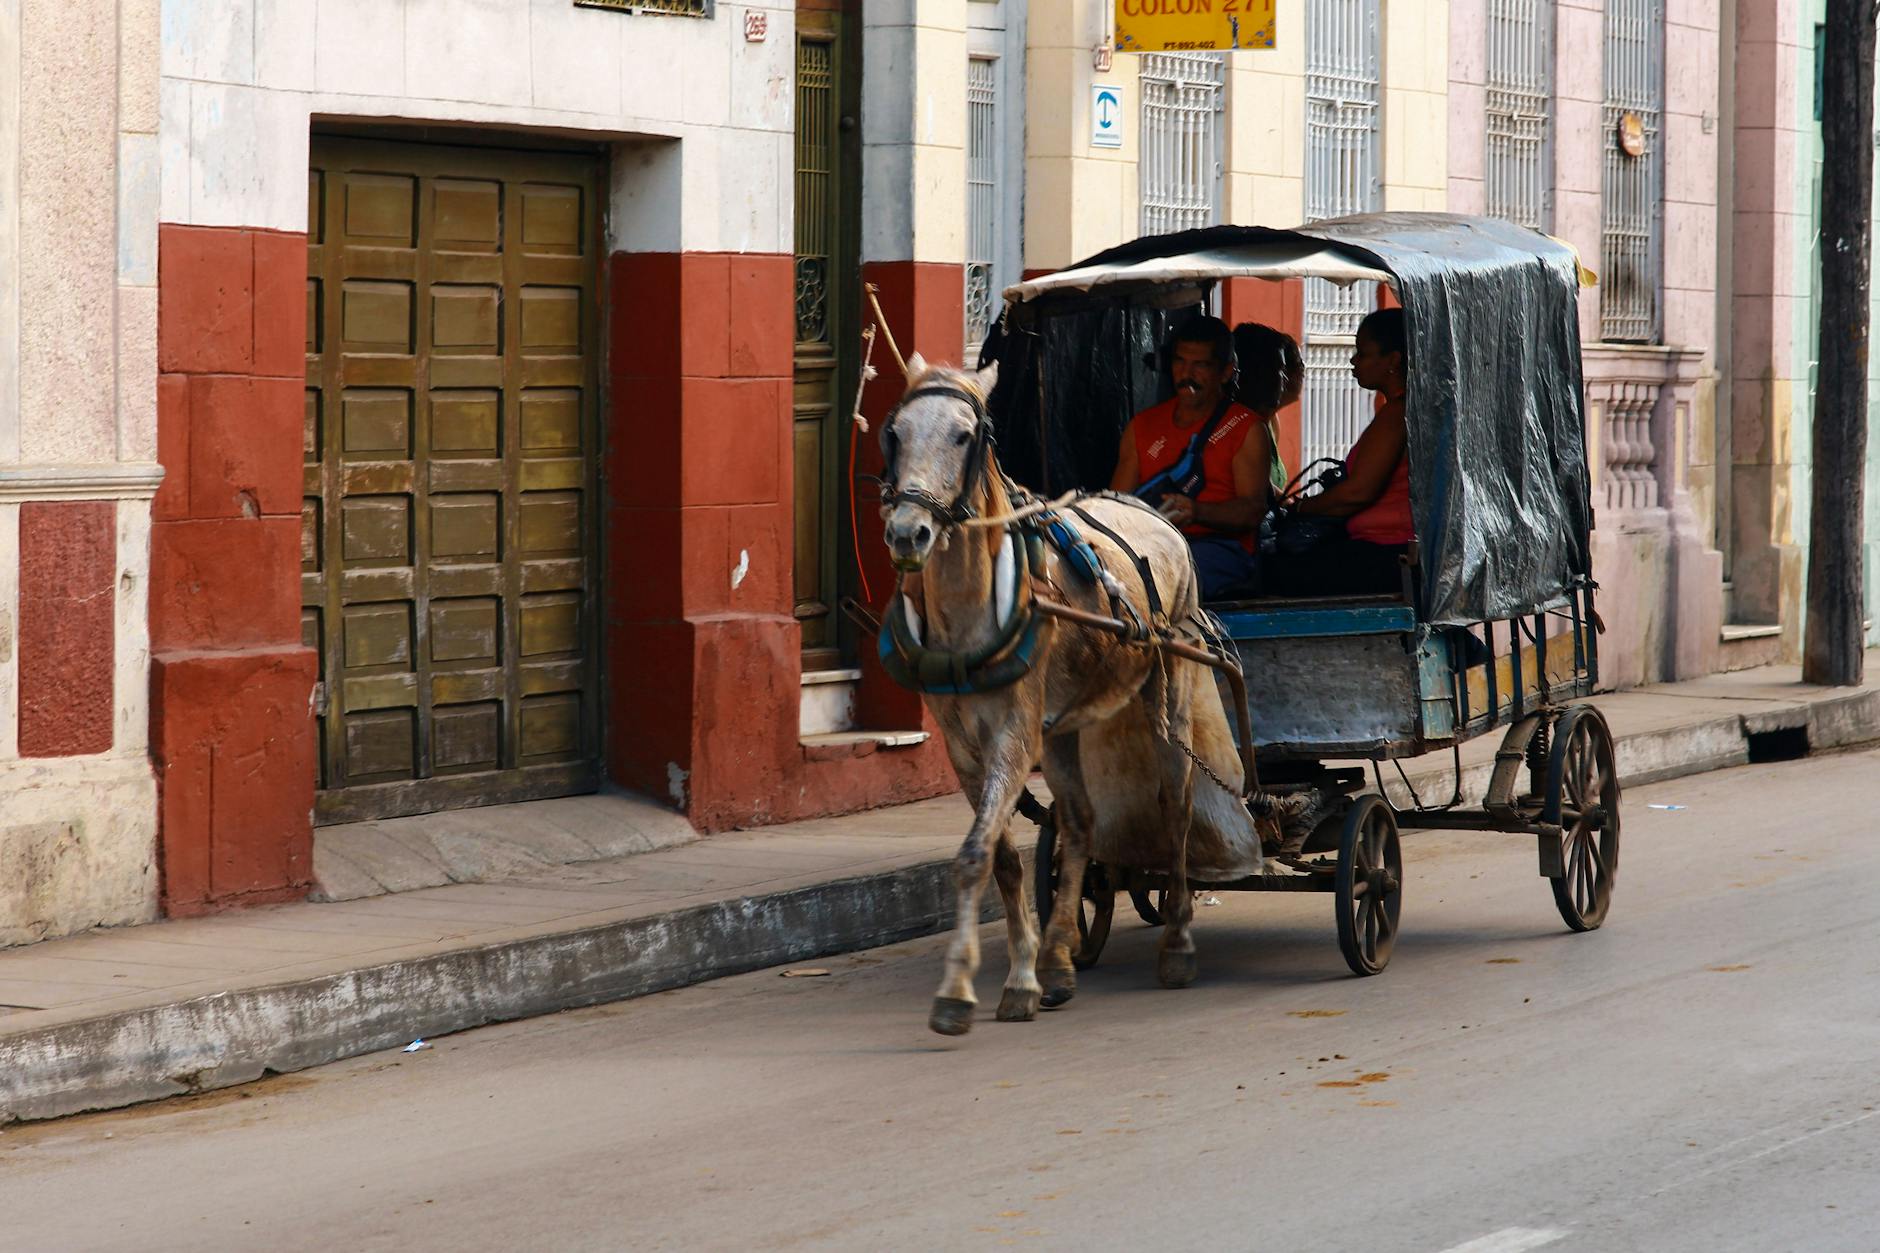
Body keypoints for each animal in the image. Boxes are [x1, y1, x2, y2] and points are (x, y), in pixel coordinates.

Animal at [876, 353, 1263, 1030]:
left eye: (965, 436)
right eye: (894, 434)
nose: (908, 533)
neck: (970, 607)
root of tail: (1158, 515)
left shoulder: (1012, 735)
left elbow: (973, 855)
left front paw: (958, 991)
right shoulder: (962, 745)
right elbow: (1001, 858)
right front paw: (1024, 975)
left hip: (1168, 695)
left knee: (1177, 806)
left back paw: (1177, 943)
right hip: (1062, 728)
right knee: (1081, 823)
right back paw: (1058, 960)